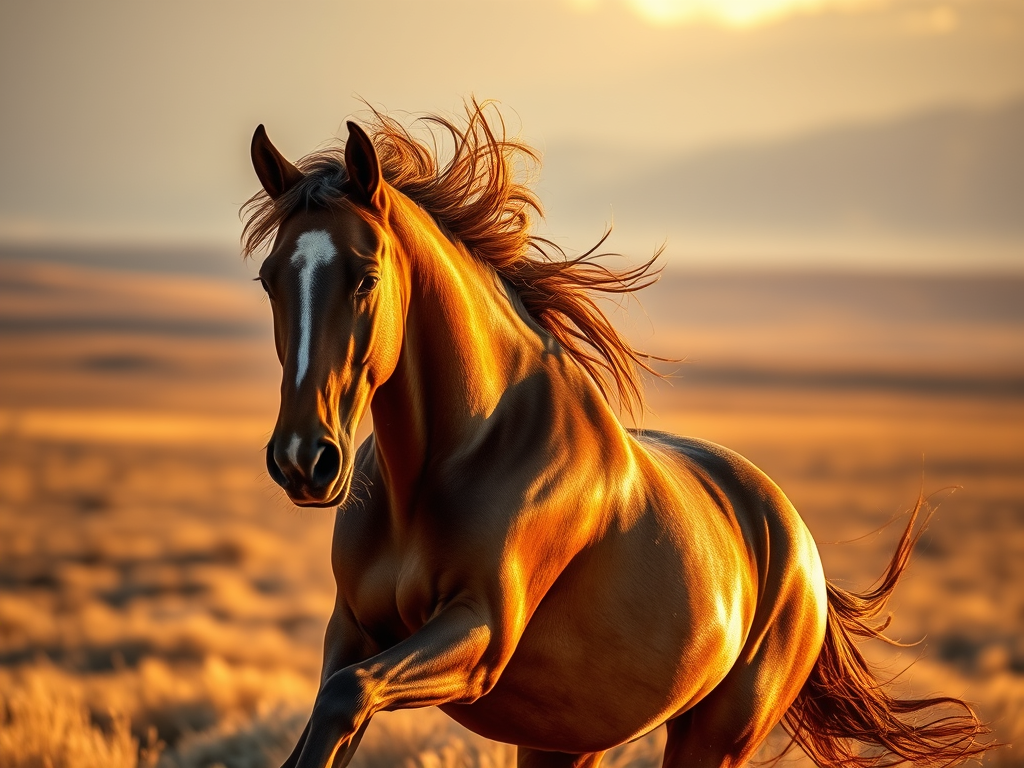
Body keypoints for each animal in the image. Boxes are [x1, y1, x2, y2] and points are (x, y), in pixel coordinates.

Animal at [240, 103, 989, 768]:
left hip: (712, 739)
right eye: (270, 279)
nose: (304, 459)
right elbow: (323, 722)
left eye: (365, 278)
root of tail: (800, 545)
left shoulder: (481, 634)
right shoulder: (354, 630)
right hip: (563, 742)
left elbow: (345, 698)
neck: (458, 460)